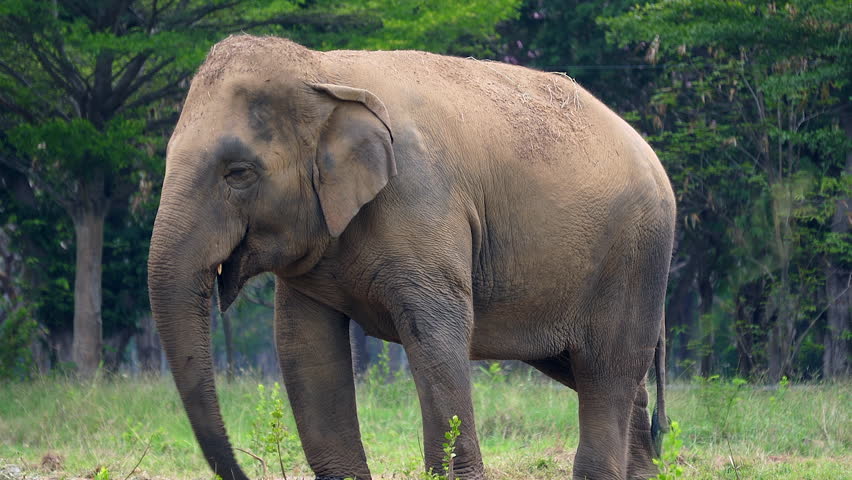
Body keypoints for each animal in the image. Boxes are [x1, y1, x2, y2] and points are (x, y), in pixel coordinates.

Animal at [148, 34, 675, 480]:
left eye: (238, 173)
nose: (242, 470)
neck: (321, 70)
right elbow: (304, 346)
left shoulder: (420, 199)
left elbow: (437, 337)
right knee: (599, 375)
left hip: (636, 255)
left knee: (605, 373)